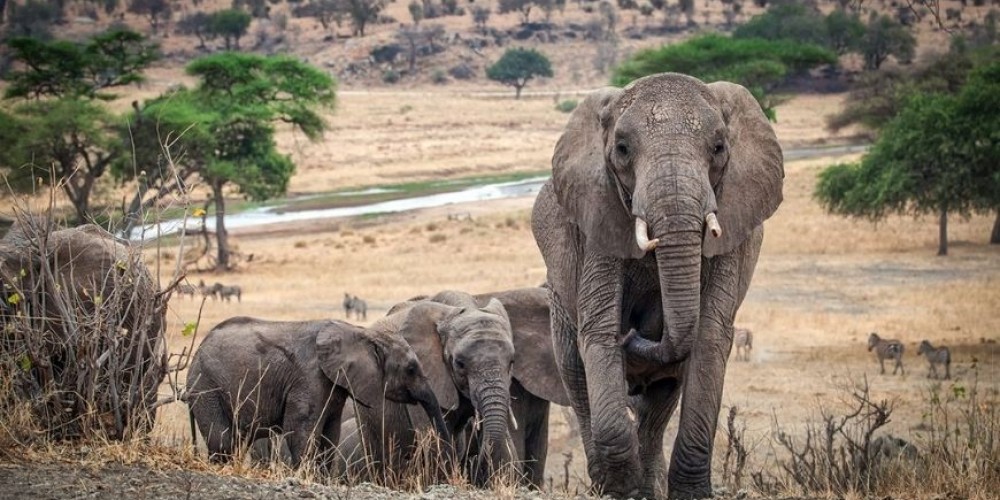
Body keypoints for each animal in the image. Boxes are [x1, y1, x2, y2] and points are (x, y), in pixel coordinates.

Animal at [187, 318, 450, 466]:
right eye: (411, 369)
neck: (361, 332)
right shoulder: (309, 378)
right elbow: (300, 431)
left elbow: (330, 435)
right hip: (206, 386)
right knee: (222, 440)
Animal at [536, 72, 784, 498]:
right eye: (621, 149)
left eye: (719, 147)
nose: (636, 332)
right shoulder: (599, 219)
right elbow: (599, 332)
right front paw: (623, 492)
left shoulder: (732, 224)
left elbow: (709, 337)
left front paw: (689, 494)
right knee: (576, 379)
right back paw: (606, 484)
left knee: (660, 401)